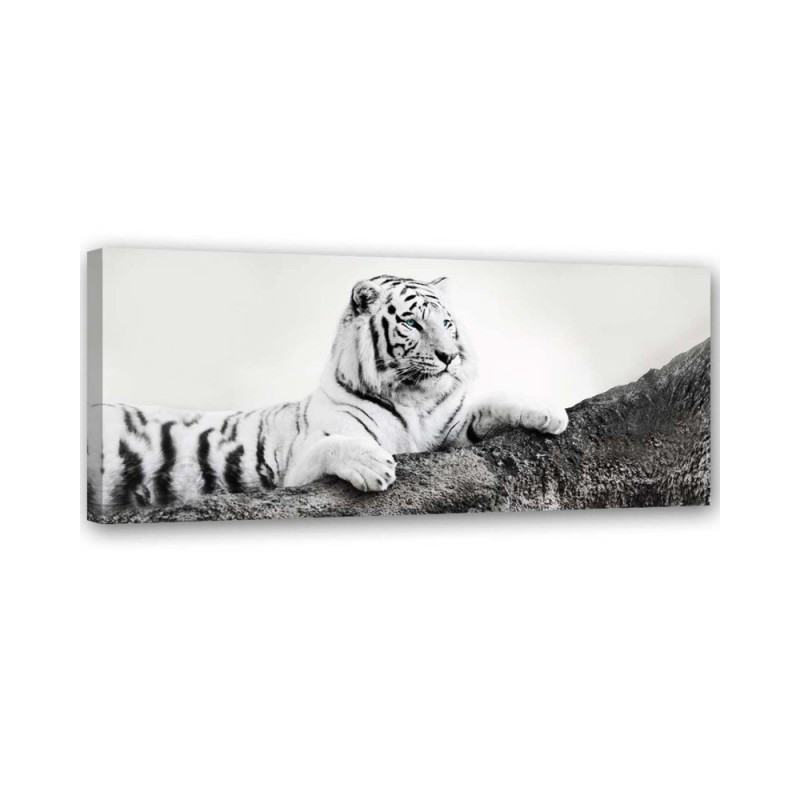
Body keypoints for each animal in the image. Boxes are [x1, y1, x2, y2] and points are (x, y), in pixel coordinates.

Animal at [88, 275, 568, 513]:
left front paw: (551, 413)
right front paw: (375, 466)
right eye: (412, 323)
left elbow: (493, 402)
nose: (450, 357)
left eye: (447, 323)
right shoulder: (299, 465)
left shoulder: (451, 430)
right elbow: (335, 445)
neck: (413, 399)